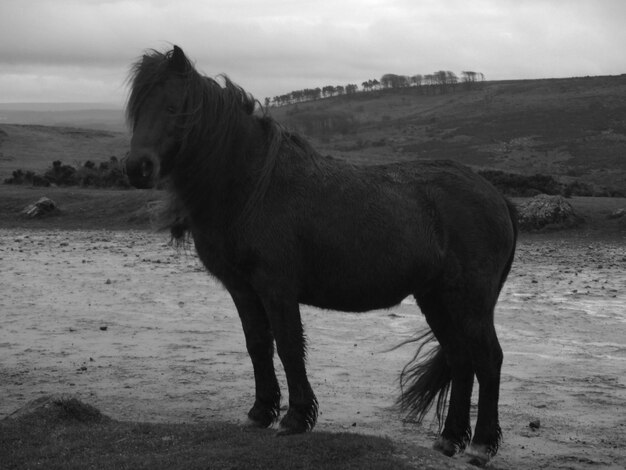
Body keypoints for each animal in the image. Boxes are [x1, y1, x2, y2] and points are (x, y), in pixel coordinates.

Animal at [124, 45, 516, 466]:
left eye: (173, 107)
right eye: (137, 107)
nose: (138, 168)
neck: (252, 186)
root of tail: (496, 196)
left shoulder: (276, 286)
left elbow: (289, 346)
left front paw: (296, 417)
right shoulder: (241, 288)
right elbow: (257, 345)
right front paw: (260, 412)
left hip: (469, 302)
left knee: (488, 360)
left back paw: (481, 445)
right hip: (437, 299)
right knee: (460, 359)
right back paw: (449, 439)